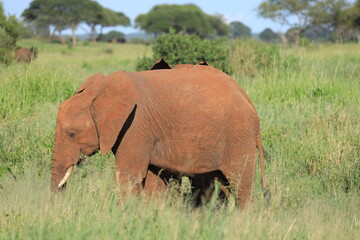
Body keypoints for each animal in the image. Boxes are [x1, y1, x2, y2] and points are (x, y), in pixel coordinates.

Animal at [52, 59, 268, 208]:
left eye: (72, 134)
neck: (99, 91)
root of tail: (249, 102)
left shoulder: (135, 125)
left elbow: (129, 175)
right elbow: (153, 178)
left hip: (238, 137)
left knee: (240, 184)